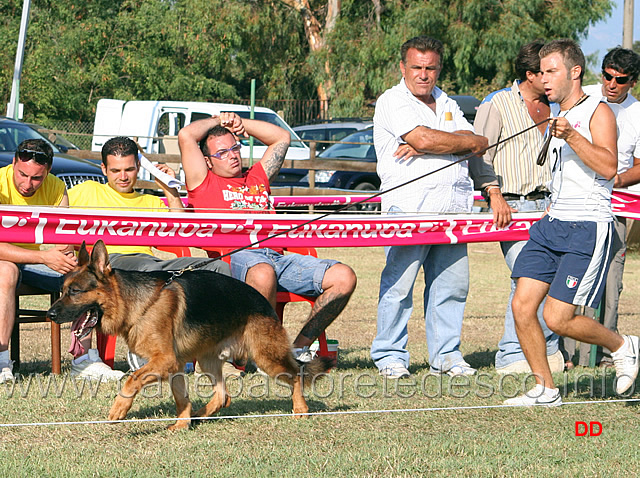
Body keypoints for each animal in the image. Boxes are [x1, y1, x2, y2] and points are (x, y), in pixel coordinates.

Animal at [47, 241, 332, 432]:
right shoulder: (173, 366)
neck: (139, 303)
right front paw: (182, 424)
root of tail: (263, 301)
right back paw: (198, 414)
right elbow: (181, 398)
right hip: (208, 361)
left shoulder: (165, 361)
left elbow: (131, 380)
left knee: (296, 375)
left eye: (75, 291)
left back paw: (301, 410)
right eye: (62, 290)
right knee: (223, 396)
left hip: (266, 357)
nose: (49, 313)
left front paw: (119, 408)